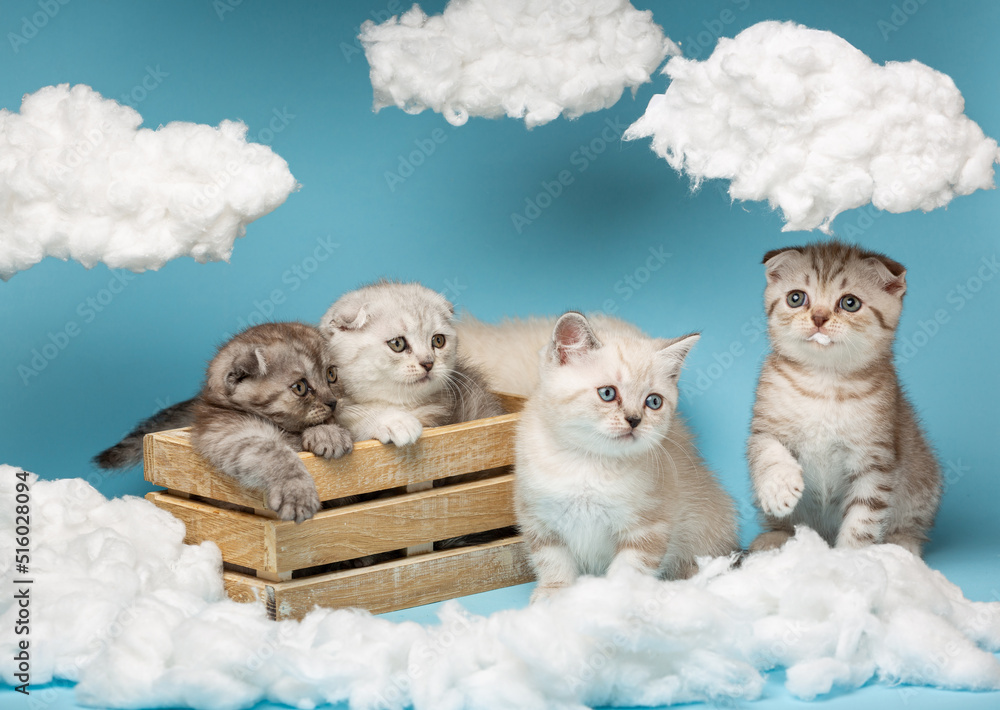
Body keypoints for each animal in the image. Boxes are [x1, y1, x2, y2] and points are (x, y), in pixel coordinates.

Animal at [516, 312, 736, 600]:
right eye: (608, 393)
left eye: (653, 401)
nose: (634, 420)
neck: (589, 462)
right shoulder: (538, 519)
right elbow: (552, 561)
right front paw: (555, 593)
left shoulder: (648, 527)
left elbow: (629, 570)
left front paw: (616, 598)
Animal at [748, 242, 940, 560]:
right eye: (796, 298)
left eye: (850, 303)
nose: (818, 317)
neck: (824, 383)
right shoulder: (764, 427)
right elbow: (768, 453)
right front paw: (779, 487)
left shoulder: (874, 459)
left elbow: (863, 518)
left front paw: (850, 560)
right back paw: (773, 539)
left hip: (924, 481)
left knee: (911, 525)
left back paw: (902, 545)